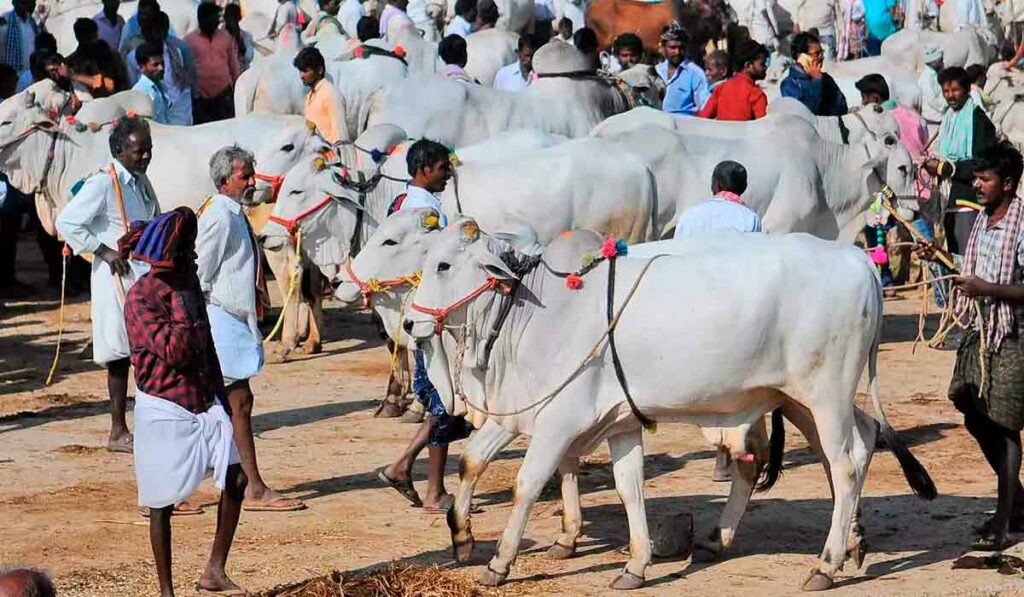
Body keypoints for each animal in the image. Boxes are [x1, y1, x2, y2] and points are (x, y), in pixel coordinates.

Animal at [401, 222, 937, 589]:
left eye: (444, 265)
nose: (408, 323)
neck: (539, 311)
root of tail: (859, 260)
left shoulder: (559, 418)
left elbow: (526, 485)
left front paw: (499, 561)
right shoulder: (613, 421)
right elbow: (627, 487)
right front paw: (635, 565)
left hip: (825, 394)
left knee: (844, 465)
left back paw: (826, 564)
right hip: (801, 400)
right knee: (855, 445)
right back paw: (845, 543)